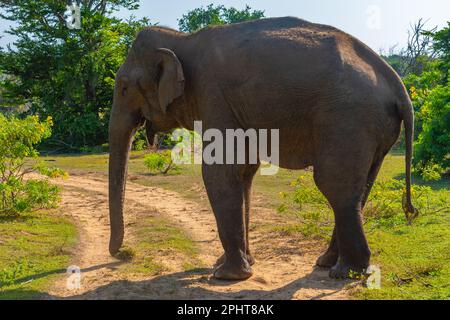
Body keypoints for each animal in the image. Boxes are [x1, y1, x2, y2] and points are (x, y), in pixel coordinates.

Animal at [109, 16, 418, 280]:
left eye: (123, 88)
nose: (121, 254)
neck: (181, 39)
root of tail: (396, 82)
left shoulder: (213, 95)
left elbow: (220, 171)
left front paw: (226, 275)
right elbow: (244, 172)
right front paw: (238, 264)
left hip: (349, 118)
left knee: (334, 185)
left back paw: (344, 273)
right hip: (375, 128)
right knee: (359, 188)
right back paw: (327, 262)